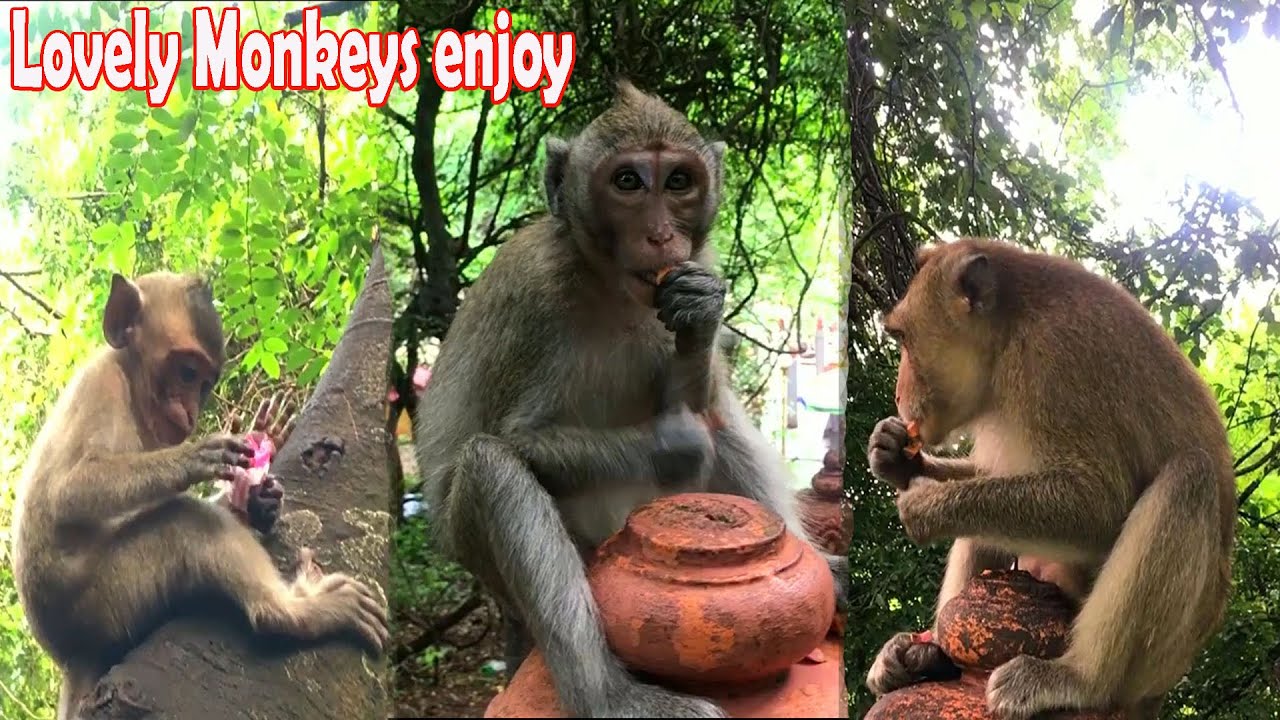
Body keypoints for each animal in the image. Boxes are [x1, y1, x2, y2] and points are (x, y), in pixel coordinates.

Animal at [10, 271, 390, 720]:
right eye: (187, 373)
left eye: (205, 384)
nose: (191, 414)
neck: (130, 381)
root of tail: (70, 654)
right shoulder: (102, 387)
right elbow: (67, 492)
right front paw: (196, 457)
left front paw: (257, 498)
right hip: (104, 599)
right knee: (189, 522)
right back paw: (289, 611)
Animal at [413, 79, 849, 718]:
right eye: (627, 182)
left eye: (678, 181)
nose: (662, 235)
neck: (609, 283)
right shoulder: (533, 299)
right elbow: (520, 436)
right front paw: (676, 444)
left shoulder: (696, 264)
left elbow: (698, 390)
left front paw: (701, 315)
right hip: (561, 550)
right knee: (492, 469)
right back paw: (611, 698)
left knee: (722, 416)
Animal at [862, 237, 1236, 720]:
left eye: (903, 339)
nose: (897, 393)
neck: (1008, 334)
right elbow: (991, 475)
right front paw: (895, 457)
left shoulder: (1054, 361)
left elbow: (1100, 505)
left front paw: (927, 504)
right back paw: (927, 657)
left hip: (1167, 653)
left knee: (1189, 478)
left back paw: (1078, 679)